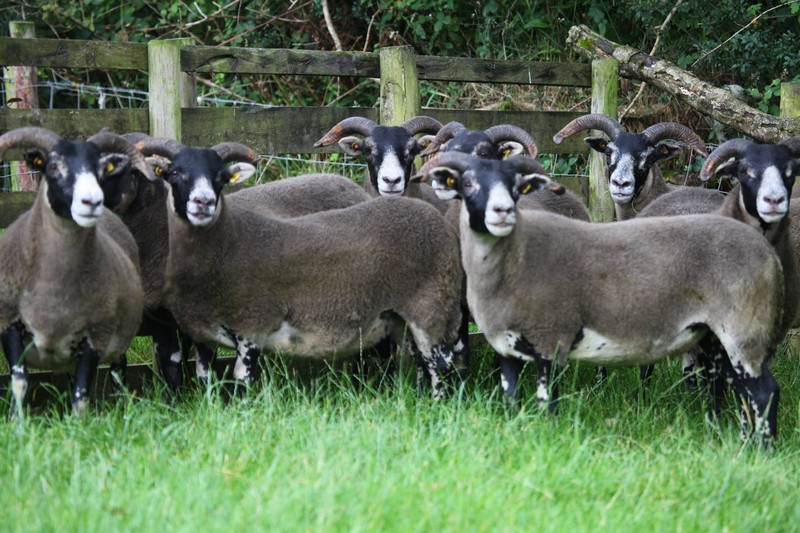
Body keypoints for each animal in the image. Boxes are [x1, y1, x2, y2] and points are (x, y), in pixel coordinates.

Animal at [0, 127, 146, 414]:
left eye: (100, 170)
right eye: (53, 166)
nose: (92, 201)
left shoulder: (95, 336)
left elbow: (81, 396)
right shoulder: (8, 322)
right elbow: (19, 382)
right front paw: (16, 421)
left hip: (116, 339)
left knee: (118, 371)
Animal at [137, 139, 465, 398]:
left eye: (221, 177)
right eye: (175, 173)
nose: (203, 202)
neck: (227, 244)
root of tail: (432, 216)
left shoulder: (252, 326)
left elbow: (242, 384)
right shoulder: (201, 335)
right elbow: (205, 381)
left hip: (432, 307)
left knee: (441, 366)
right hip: (398, 317)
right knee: (420, 360)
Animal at [416, 151, 785, 445]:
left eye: (515, 187)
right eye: (468, 184)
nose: (503, 211)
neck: (514, 259)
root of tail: (768, 253)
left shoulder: (552, 340)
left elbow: (548, 404)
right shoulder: (508, 349)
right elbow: (510, 401)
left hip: (743, 327)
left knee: (765, 392)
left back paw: (759, 453)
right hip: (718, 337)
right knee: (743, 390)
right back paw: (742, 444)